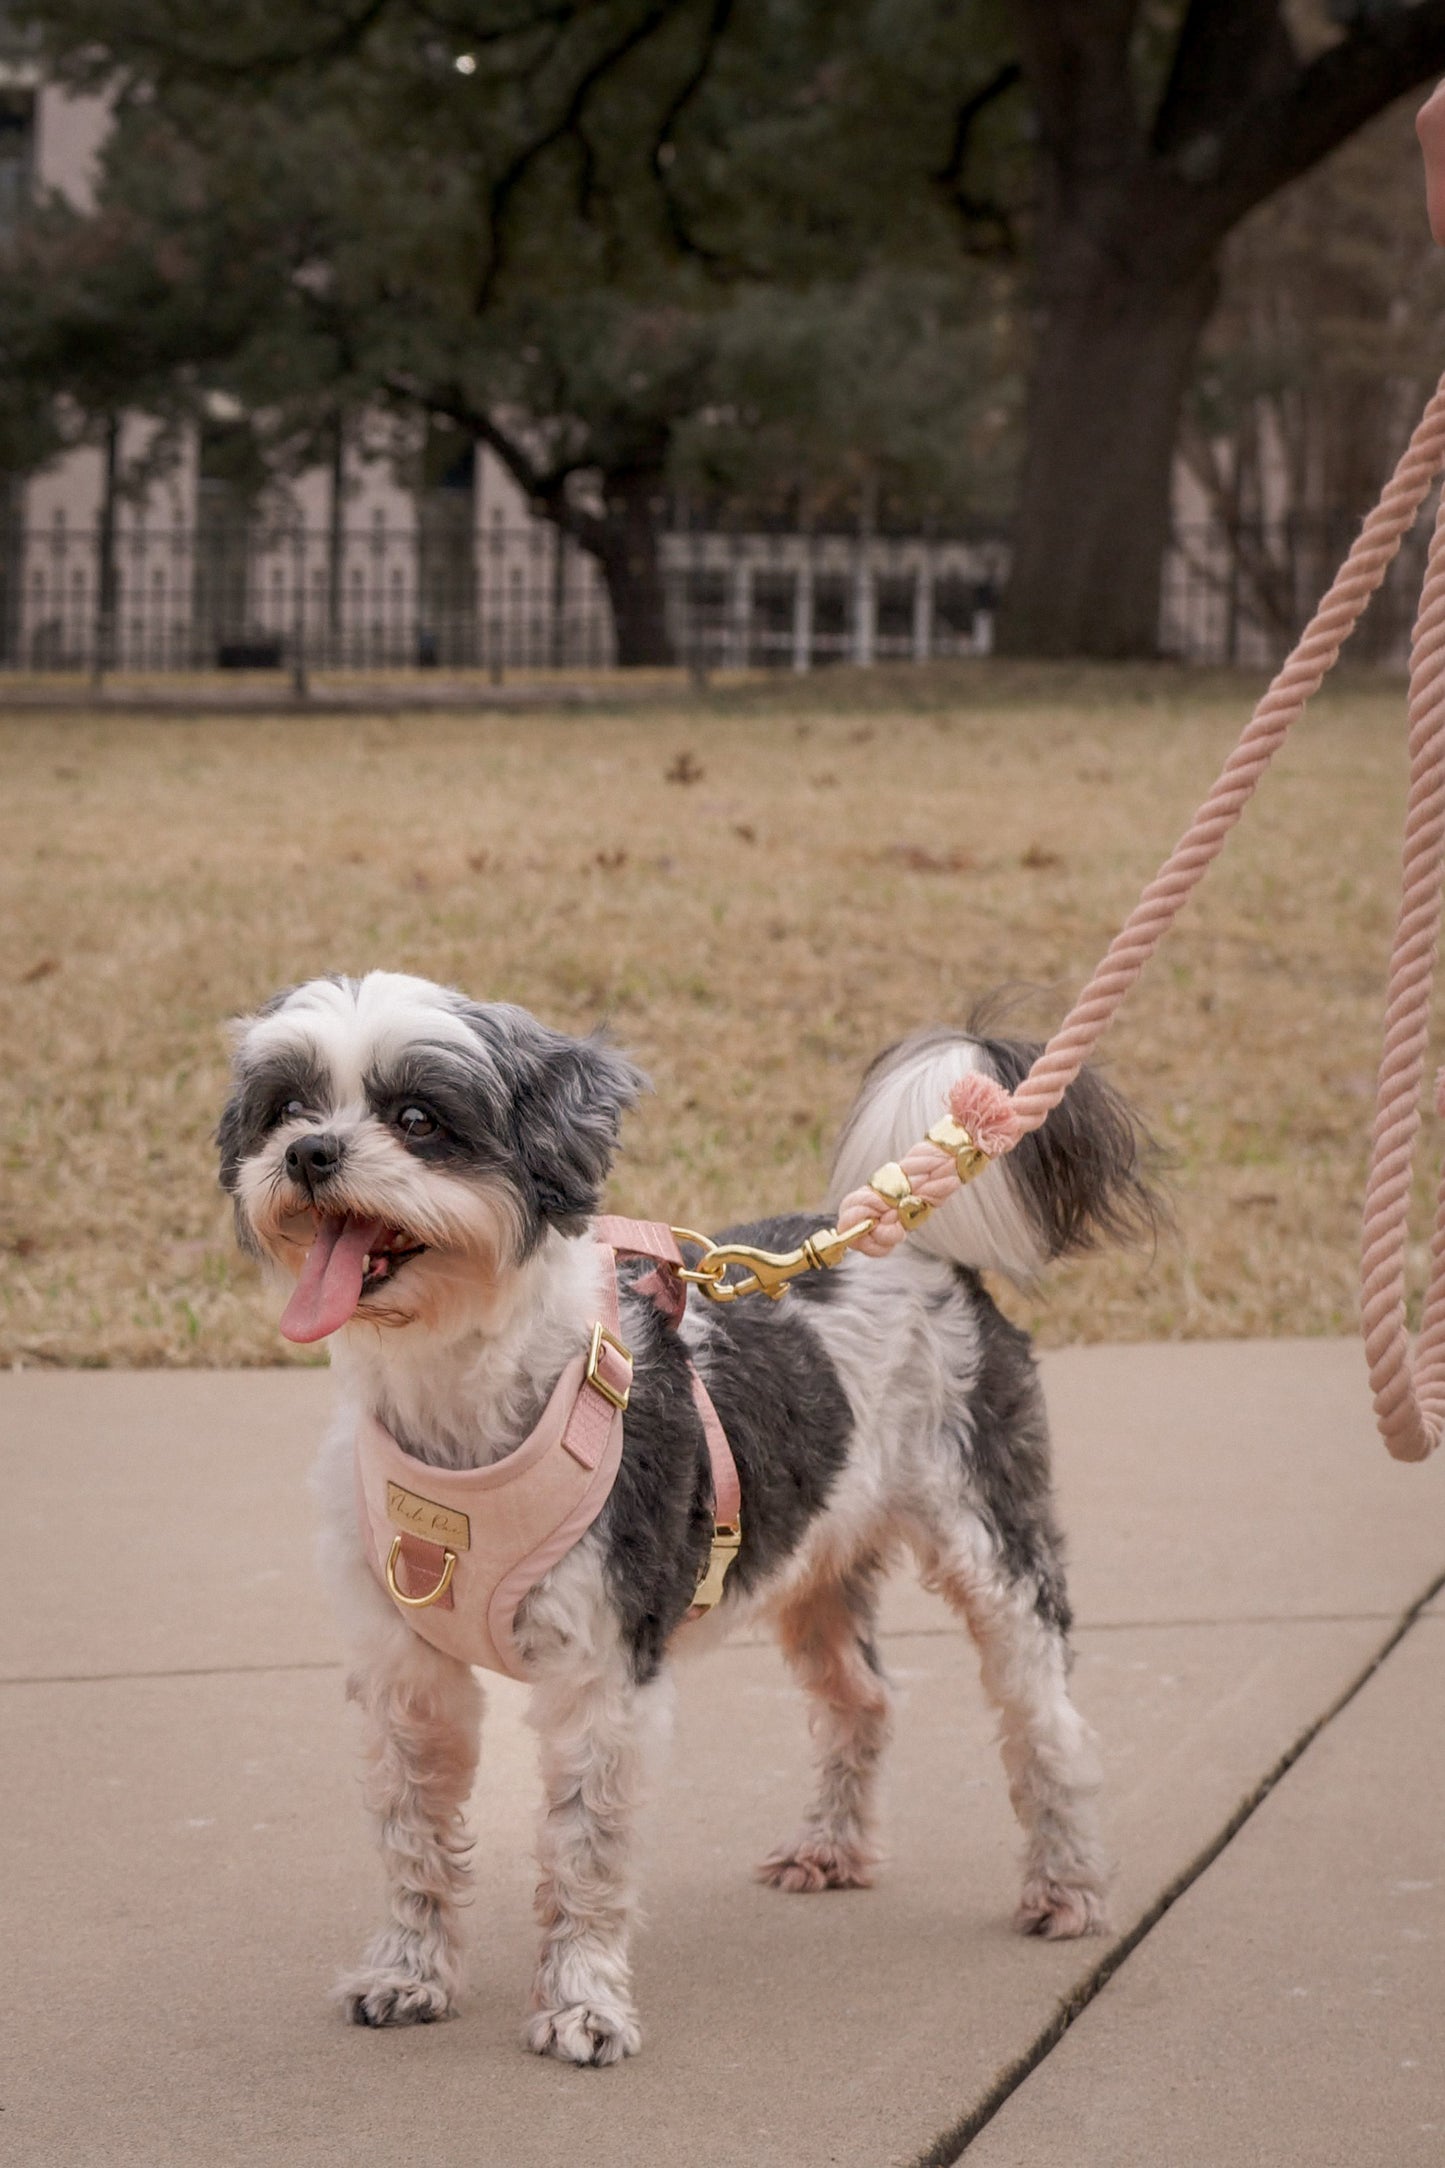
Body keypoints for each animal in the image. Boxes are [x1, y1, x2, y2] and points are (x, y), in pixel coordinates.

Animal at [220, 971, 1161, 2063]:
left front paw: (581, 2001)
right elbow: (412, 1833)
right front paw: (408, 1972)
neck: (458, 1405)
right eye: (286, 1107)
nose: (309, 1154)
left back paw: (1067, 1885)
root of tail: (916, 1243)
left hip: (990, 1543)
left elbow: (585, 1849)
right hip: (812, 1568)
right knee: (862, 1700)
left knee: (1045, 1720)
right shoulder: (405, 1671)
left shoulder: (603, 1669)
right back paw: (833, 1848)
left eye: (417, 1118)